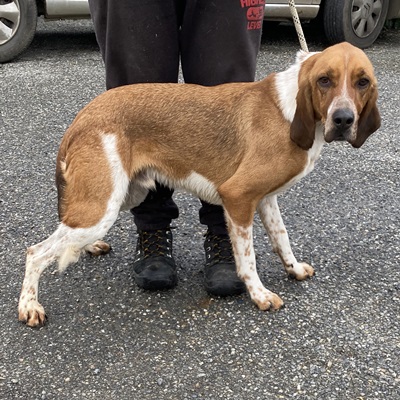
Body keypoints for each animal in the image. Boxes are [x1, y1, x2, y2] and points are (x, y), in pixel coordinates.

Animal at [18, 42, 382, 326]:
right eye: (324, 80)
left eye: (362, 82)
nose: (343, 120)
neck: (293, 109)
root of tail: (82, 117)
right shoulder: (238, 197)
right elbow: (247, 258)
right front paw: (259, 294)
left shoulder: (265, 200)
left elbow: (282, 239)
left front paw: (293, 269)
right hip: (103, 205)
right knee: (37, 252)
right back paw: (29, 305)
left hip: (123, 194)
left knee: (65, 229)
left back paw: (87, 247)